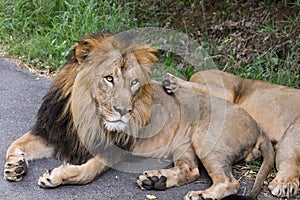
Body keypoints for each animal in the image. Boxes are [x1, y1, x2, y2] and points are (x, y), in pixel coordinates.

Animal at [3, 32, 274, 199]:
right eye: (109, 78)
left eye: (134, 83)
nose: (125, 111)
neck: (87, 115)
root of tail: (257, 124)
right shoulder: (52, 132)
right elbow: (16, 143)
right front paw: (14, 166)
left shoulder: (114, 149)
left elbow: (86, 172)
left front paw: (55, 176)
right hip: (184, 146)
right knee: (190, 170)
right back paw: (156, 180)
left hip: (206, 141)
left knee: (229, 182)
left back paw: (200, 194)